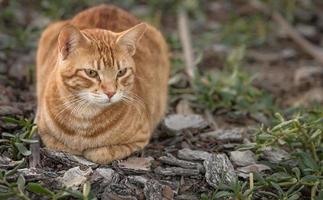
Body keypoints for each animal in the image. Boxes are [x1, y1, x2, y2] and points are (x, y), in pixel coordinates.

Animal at [36, 4, 170, 164]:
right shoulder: (43, 130)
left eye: (121, 72)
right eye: (91, 73)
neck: (84, 116)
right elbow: (61, 145)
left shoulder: (140, 138)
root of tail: (107, 6)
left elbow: (100, 153)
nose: (111, 92)